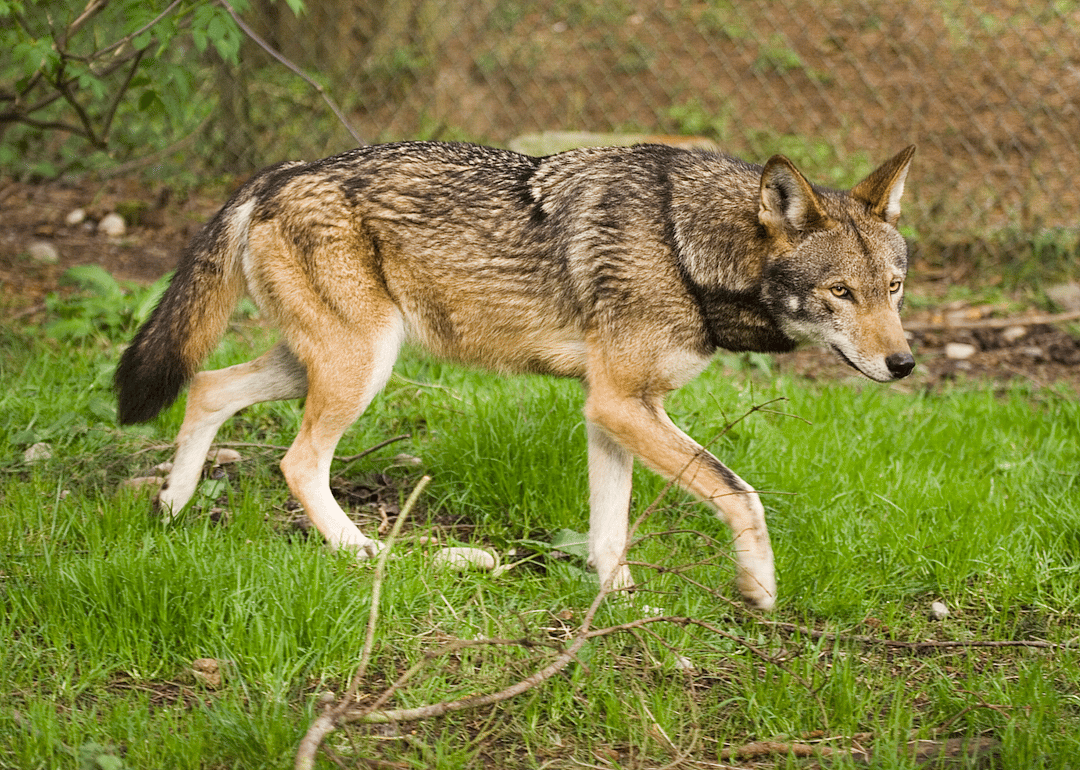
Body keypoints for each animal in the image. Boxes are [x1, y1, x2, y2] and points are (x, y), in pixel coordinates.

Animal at [115, 140, 916, 611]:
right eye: (841, 293)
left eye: (894, 288)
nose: (904, 363)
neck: (684, 247)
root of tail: (273, 173)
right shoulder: (622, 404)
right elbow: (740, 493)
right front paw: (759, 588)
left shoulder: (611, 411)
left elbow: (608, 532)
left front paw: (619, 606)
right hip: (360, 368)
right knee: (297, 460)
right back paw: (362, 552)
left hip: (327, 364)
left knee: (207, 387)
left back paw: (173, 506)